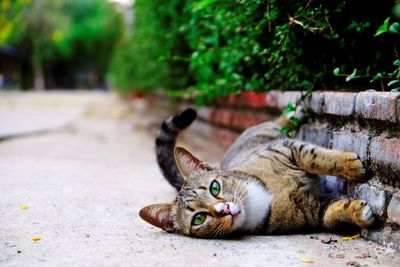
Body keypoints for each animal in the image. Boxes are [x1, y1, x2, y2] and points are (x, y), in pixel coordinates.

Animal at [138, 109, 376, 239]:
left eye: (215, 187)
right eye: (199, 218)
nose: (224, 209)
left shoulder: (286, 148)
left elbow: (314, 157)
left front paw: (350, 166)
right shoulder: (312, 212)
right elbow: (330, 213)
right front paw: (356, 212)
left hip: (269, 133)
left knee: (280, 120)